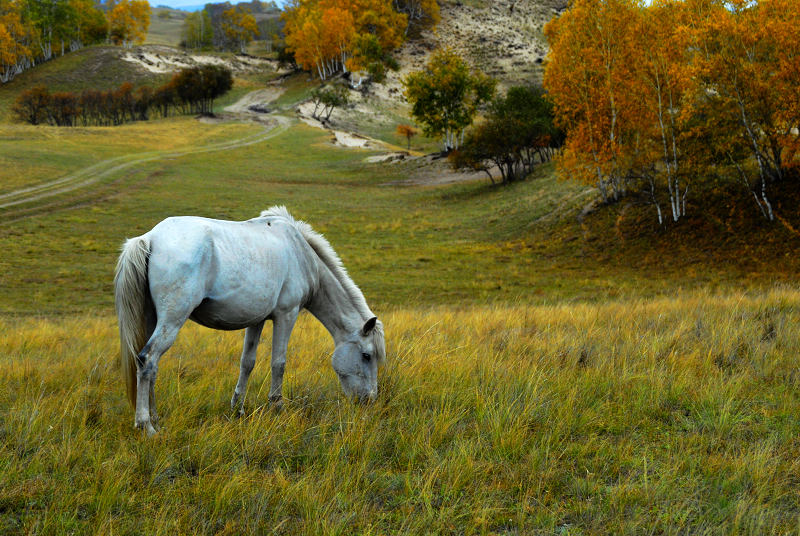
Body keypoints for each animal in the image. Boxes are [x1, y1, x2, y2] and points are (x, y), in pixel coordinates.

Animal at [114, 205, 386, 436]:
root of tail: (150, 238)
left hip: (153, 319)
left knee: (150, 367)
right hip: (171, 321)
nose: (369, 400)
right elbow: (279, 363)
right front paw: (277, 407)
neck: (301, 255)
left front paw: (238, 409)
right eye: (366, 356)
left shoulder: (257, 320)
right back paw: (146, 425)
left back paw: (156, 418)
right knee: (148, 359)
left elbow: (247, 362)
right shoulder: (286, 315)